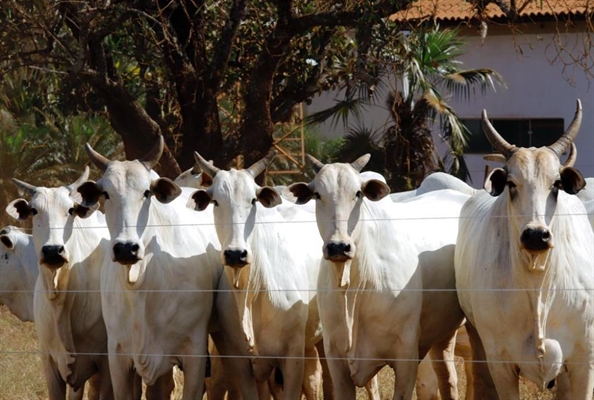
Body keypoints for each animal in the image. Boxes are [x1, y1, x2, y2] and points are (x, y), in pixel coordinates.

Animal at [73, 136, 256, 398]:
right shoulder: (118, 356)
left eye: (147, 192)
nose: (126, 249)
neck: (140, 286)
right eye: (106, 194)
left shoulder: (194, 353)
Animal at [284, 155, 464, 400]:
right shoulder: (335, 356)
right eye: (317, 195)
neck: (355, 287)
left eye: (358, 193)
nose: (338, 246)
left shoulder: (406, 354)